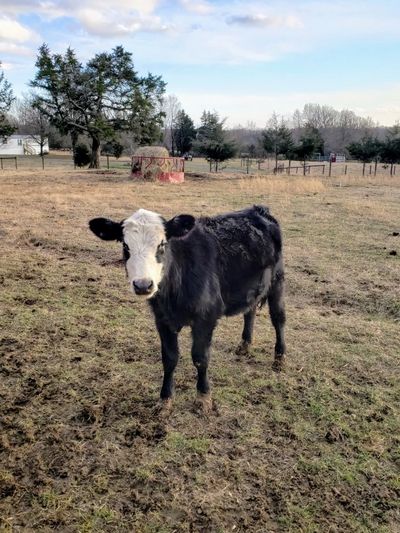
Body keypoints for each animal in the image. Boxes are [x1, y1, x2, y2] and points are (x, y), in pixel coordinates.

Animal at [89, 205, 286, 412]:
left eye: (162, 245)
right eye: (126, 246)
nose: (143, 285)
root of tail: (258, 210)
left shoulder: (206, 318)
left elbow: (200, 358)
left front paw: (203, 397)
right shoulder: (162, 320)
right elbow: (169, 358)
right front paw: (165, 399)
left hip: (277, 281)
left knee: (278, 318)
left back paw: (279, 358)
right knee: (250, 311)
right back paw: (244, 346)